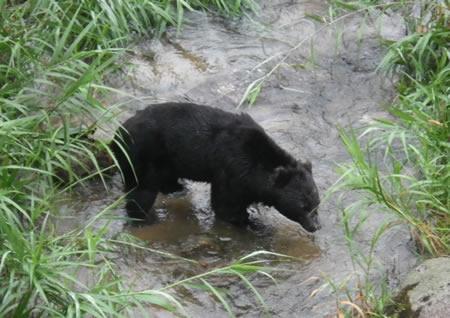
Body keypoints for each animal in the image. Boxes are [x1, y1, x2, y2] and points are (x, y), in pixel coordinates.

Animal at [114, 103, 322, 232]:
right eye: (303, 206)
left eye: (317, 203)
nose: (316, 226)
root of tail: (119, 132)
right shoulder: (232, 170)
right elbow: (225, 204)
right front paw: (246, 222)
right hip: (144, 158)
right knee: (142, 192)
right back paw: (145, 219)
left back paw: (178, 189)